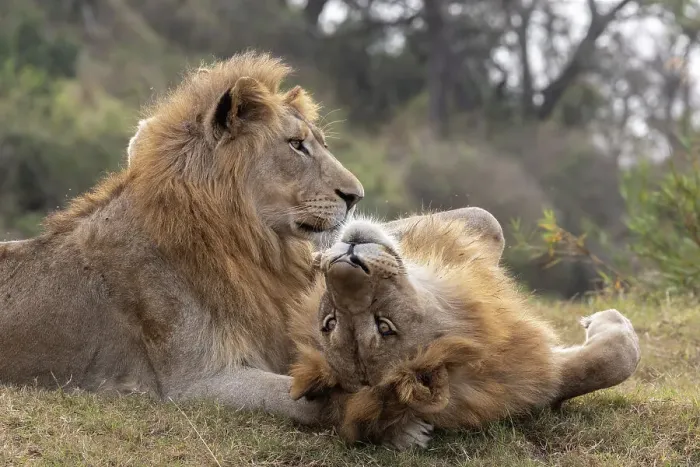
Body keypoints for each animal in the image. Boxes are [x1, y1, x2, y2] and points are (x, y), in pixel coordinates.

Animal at [288, 215, 641, 449]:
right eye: (384, 324)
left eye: (329, 322)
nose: (348, 259)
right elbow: (619, 356)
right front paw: (608, 320)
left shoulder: (534, 373)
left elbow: (596, 368)